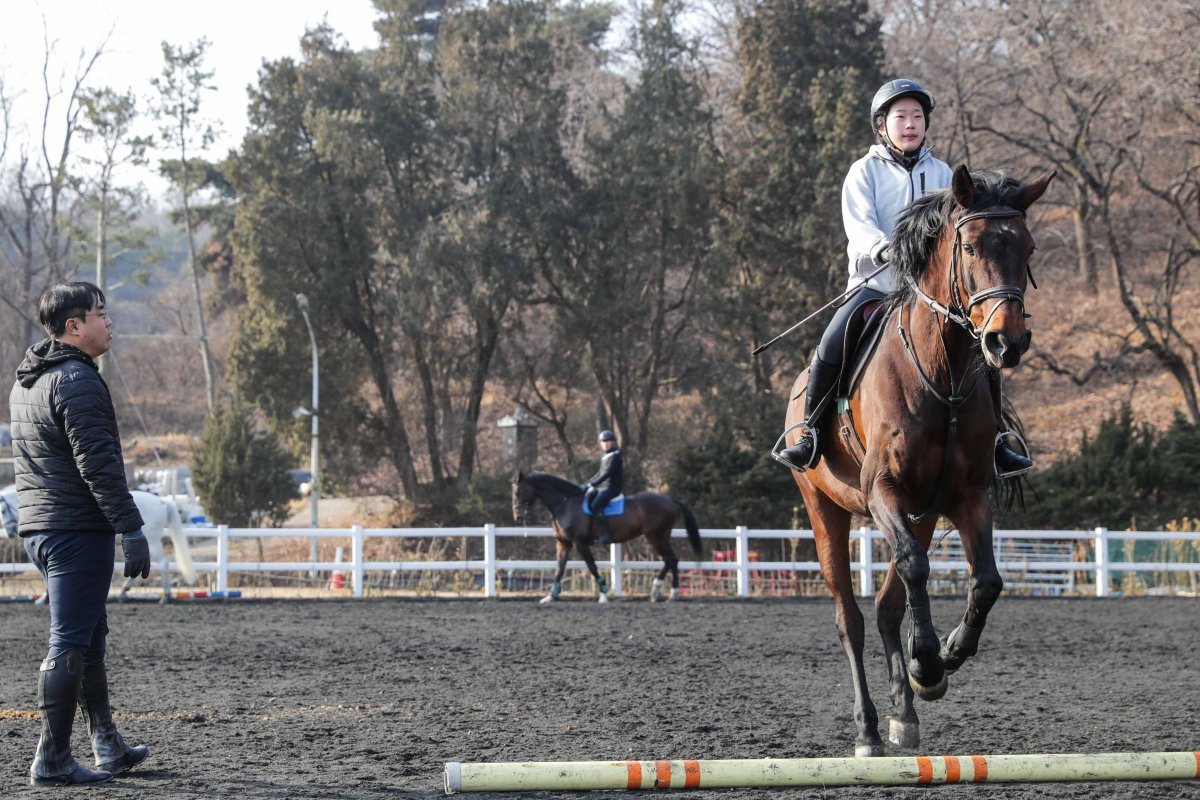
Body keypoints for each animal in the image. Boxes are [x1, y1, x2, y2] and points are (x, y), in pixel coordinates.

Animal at [508, 472, 700, 604]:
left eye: (518, 492)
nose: (517, 516)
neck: (565, 503)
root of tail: (671, 500)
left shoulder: (579, 543)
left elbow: (592, 566)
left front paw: (603, 593)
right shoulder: (563, 543)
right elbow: (559, 568)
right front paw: (551, 596)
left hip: (655, 536)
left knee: (671, 559)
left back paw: (669, 593)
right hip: (661, 537)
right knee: (670, 560)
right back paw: (659, 592)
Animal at [787, 167, 1060, 758]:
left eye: (1027, 247)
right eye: (971, 246)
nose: (1007, 341)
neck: (943, 371)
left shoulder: (966, 495)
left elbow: (986, 582)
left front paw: (943, 660)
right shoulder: (883, 491)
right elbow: (915, 568)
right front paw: (929, 662)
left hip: (924, 512)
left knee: (889, 607)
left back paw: (903, 715)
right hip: (825, 508)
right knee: (850, 617)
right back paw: (868, 728)